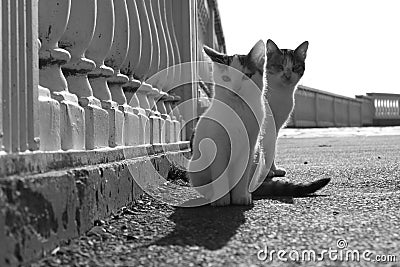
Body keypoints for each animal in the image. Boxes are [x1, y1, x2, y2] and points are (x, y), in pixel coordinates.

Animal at [189, 40, 268, 207]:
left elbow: (242, 174)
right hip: (195, 166)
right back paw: (211, 195)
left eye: (246, 76)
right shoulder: (217, 145)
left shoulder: (249, 146)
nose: (236, 88)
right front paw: (221, 198)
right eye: (226, 78)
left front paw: (240, 197)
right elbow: (219, 172)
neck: (237, 109)